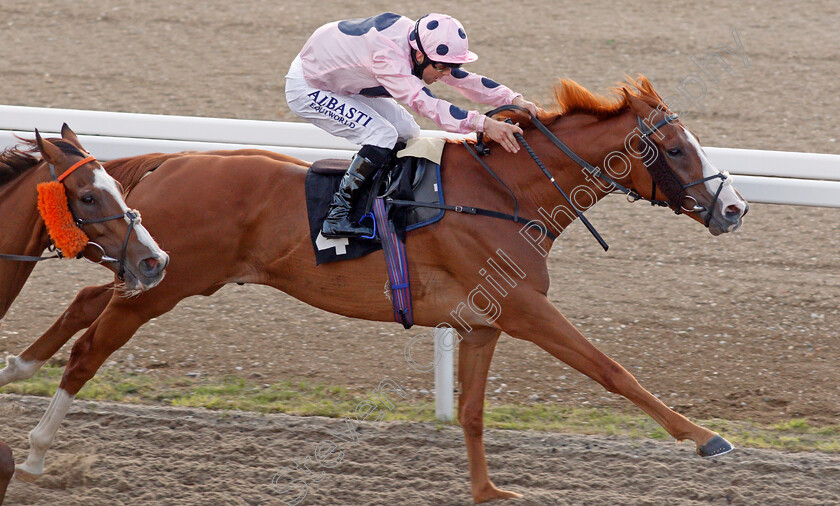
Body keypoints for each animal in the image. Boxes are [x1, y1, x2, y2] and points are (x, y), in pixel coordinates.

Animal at [0, 77, 748, 500]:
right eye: (676, 150)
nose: (735, 207)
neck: (507, 196)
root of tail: (169, 161)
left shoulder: (484, 319)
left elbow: (473, 411)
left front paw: (488, 491)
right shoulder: (525, 308)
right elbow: (612, 369)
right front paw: (706, 438)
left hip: (154, 269)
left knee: (86, 303)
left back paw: (18, 368)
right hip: (166, 282)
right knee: (88, 352)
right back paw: (33, 454)